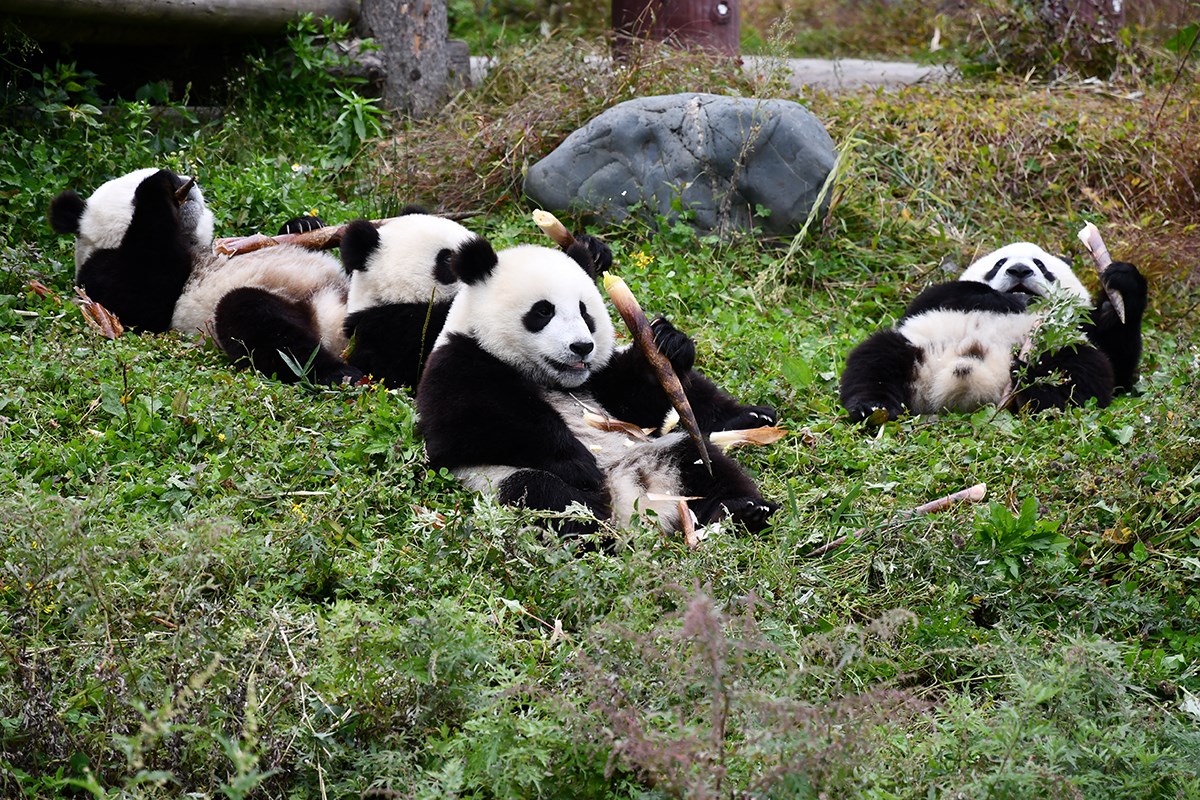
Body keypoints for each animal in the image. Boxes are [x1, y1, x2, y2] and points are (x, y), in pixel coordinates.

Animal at [49, 167, 361, 385]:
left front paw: (304, 224)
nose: (182, 179)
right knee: (256, 320)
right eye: (132, 186)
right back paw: (340, 373)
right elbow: (143, 299)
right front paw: (156, 189)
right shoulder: (100, 276)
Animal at [415, 235, 778, 538]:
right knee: (546, 494)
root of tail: (634, 501)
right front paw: (580, 462)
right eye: (543, 311)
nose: (581, 347)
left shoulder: (601, 379)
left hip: (657, 452)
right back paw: (598, 529)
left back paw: (745, 510)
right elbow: (474, 425)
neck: (550, 380)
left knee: (700, 463)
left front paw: (670, 343)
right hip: (498, 479)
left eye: (584, 312)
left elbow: (640, 403)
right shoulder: (456, 361)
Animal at [839, 241, 1147, 422]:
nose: (1019, 270)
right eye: (1000, 263)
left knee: (1079, 369)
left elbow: (1118, 361)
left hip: (1058, 348)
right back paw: (872, 408)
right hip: (919, 346)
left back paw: (1040, 395)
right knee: (876, 359)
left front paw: (1124, 283)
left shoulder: (1081, 324)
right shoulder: (929, 304)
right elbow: (948, 294)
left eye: (1040, 265)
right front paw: (1009, 299)